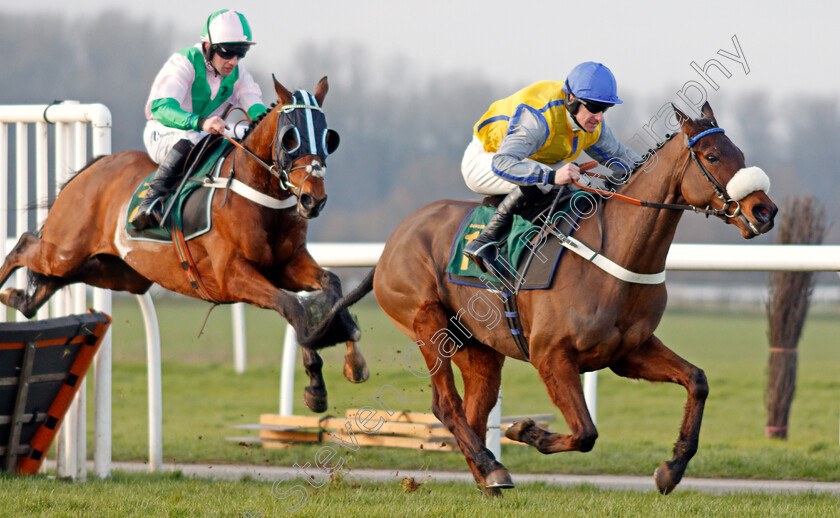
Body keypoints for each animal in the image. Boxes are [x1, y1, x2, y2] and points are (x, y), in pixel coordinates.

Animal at [0, 76, 368, 414]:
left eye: (329, 136)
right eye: (291, 137)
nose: (313, 199)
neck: (259, 194)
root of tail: (95, 166)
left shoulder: (286, 265)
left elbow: (331, 284)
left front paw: (354, 358)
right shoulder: (231, 276)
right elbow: (294, 308)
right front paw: (316, 384)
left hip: (121, 272)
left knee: (55, 280)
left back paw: (21, 298)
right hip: (63, 250)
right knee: (24, 245)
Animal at [370, 102, 776, 496]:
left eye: (739, 154)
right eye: (711, 156)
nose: (765, 211)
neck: (613, 253)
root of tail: (397, 237)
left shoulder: (628, 352)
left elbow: (697, 381)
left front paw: (671, 469)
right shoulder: (551, 355)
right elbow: (585, 433)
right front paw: (524, 430)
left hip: (480, 348)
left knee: (473, 412)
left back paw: (489, 475)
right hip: (428, 322)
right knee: (447, 406)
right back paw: (491, 467)